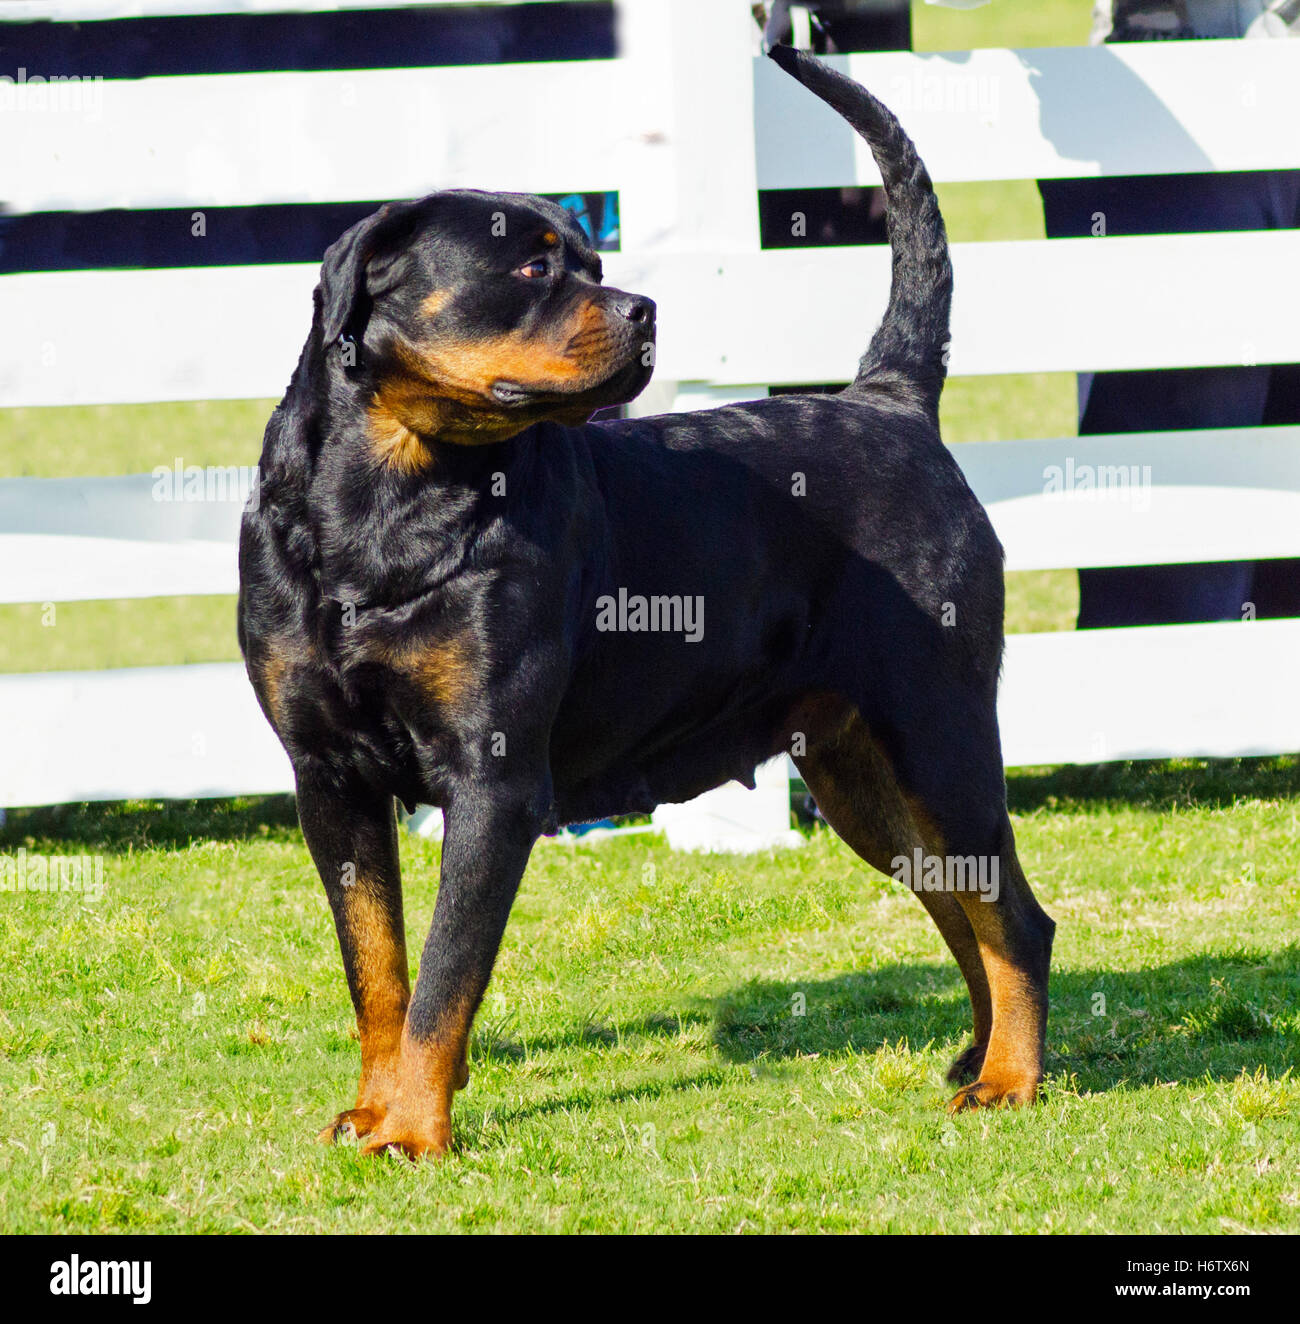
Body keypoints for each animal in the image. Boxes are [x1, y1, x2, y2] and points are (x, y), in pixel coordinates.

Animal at [242, 46, 1059, 1154]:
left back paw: (1012, 1078)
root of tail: (890, 401)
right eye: (535, 267)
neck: (388, 499)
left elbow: (444, 977)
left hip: (939, 729)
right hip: (862, 769)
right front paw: (373, 1109)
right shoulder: (329, 780)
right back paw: (977, 1059)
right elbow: (377, 968)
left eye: (593, 265)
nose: (643, 312)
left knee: (1014, 915)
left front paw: (410, 1131)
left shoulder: (492, 779)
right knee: (959, 903)